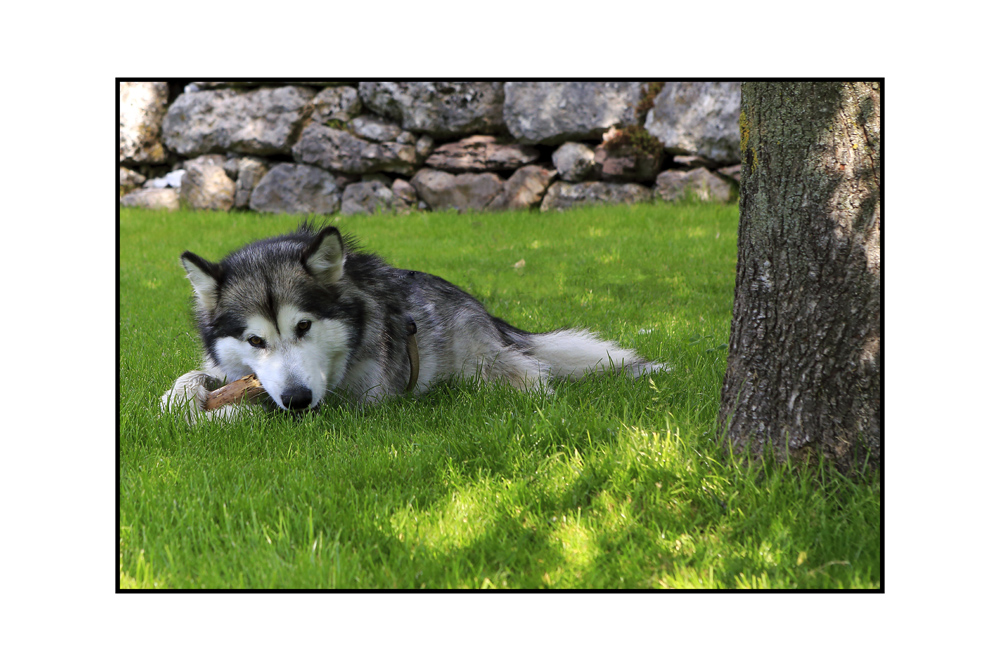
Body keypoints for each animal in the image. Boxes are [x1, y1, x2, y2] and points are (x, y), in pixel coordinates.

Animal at [160, 223, 668, 422]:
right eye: (254, 340)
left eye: (304, 327)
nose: (298, 399)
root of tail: (477, 305)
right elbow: (192, 379)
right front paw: (181, 398)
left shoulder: (359, 403)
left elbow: (258, 410)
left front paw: (226, 416)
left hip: (486, 367)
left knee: (533, 377)